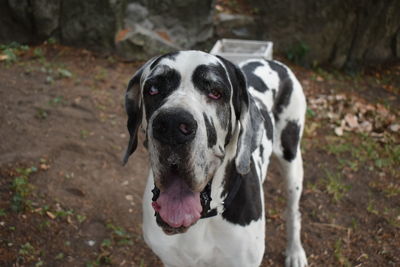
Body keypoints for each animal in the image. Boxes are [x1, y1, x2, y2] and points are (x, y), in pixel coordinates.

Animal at [123, 50, 308, 267]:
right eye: (152, 89)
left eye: (216, 92)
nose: (171, 125)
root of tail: (276, 63)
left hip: (292, 162)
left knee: (294, 211)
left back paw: (295, 251)